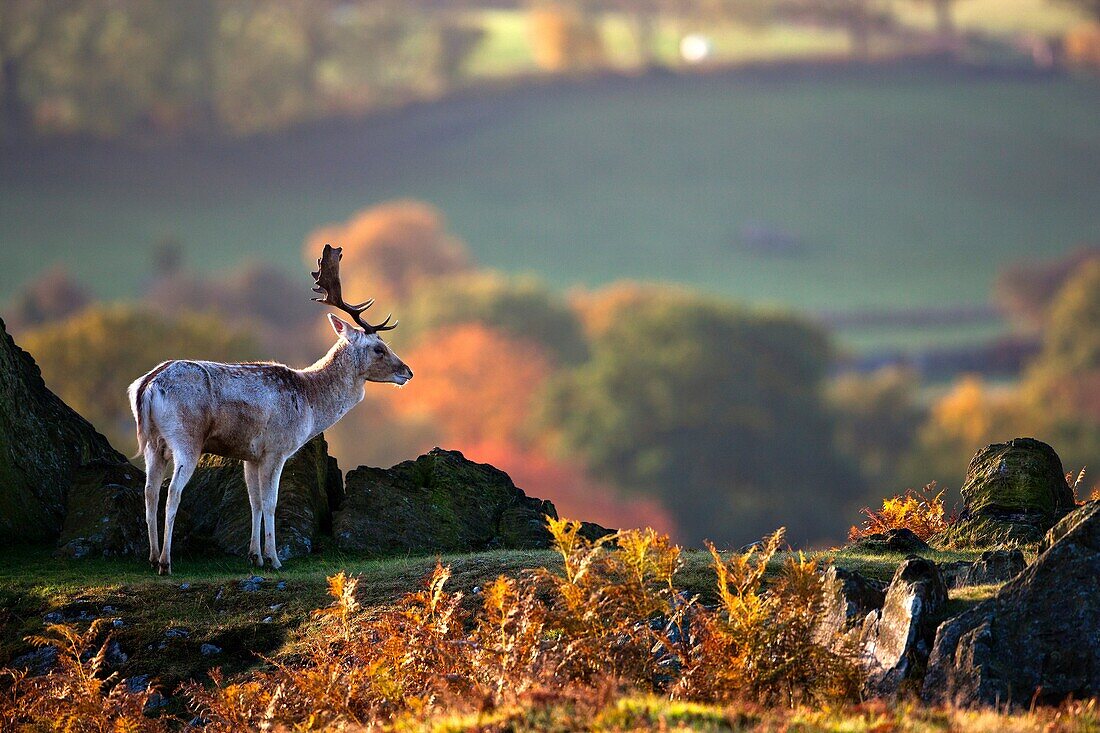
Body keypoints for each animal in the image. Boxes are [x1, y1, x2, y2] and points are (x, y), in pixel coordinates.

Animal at [127, 242, 413, 572]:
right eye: (379, 348)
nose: (408, 371)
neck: (310, 402)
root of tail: (147, 386)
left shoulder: (250, 455)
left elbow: (252, 501)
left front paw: (255, 556)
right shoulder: (276, 449)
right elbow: (270, 502)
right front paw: (275, 558)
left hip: (154, 443)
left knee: (149, 490)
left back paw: (151, 557)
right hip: (186, 438)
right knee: (172, 492)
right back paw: (166, 561)